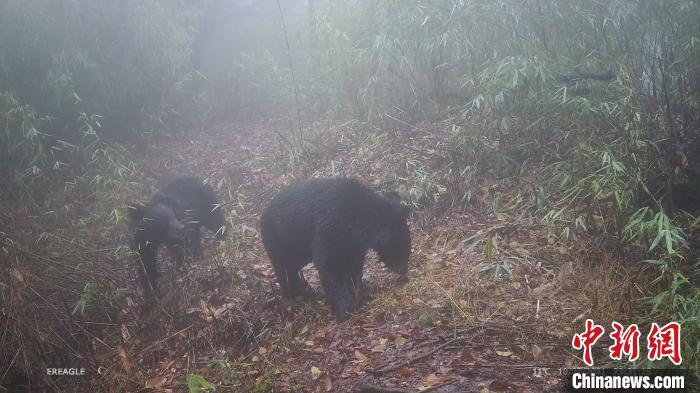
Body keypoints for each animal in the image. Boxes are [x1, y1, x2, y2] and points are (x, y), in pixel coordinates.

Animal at [260, 176, 410, 320]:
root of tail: (262, 215)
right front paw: (345, 308)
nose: (404, 274)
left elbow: (354, 263)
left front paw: (356, 286)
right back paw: (292, 295)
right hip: (278, 241)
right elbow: (328, 265)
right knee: (283, 270)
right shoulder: (327, 228)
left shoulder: (352, 243)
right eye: (401, 251)